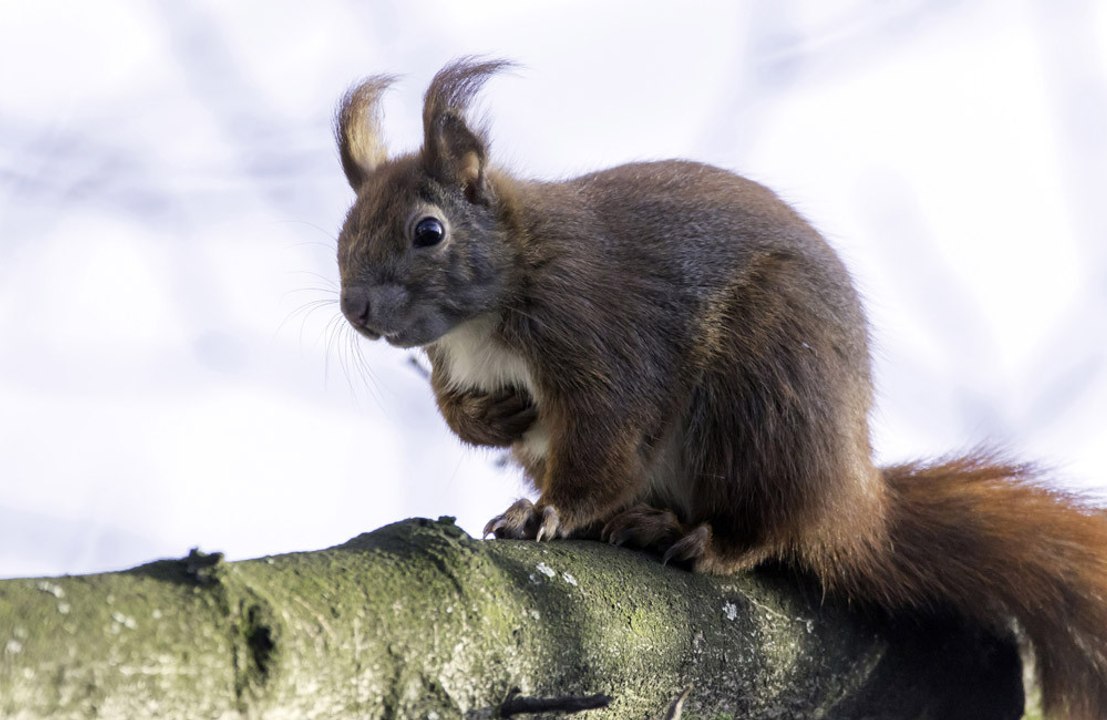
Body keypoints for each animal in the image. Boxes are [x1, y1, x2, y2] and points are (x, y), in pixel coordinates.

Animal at [333, 58, 1107, 718]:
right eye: (344, 231)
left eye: (428, 231)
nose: (355, 309)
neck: (496, 295)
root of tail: (855, 502)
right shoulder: (449, 360)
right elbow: (456, 410)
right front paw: (491, 416)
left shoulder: (599, 332)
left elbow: (607, 436)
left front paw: (545, 513)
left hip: (764, 387)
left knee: (773, 528)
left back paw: (696, 537)